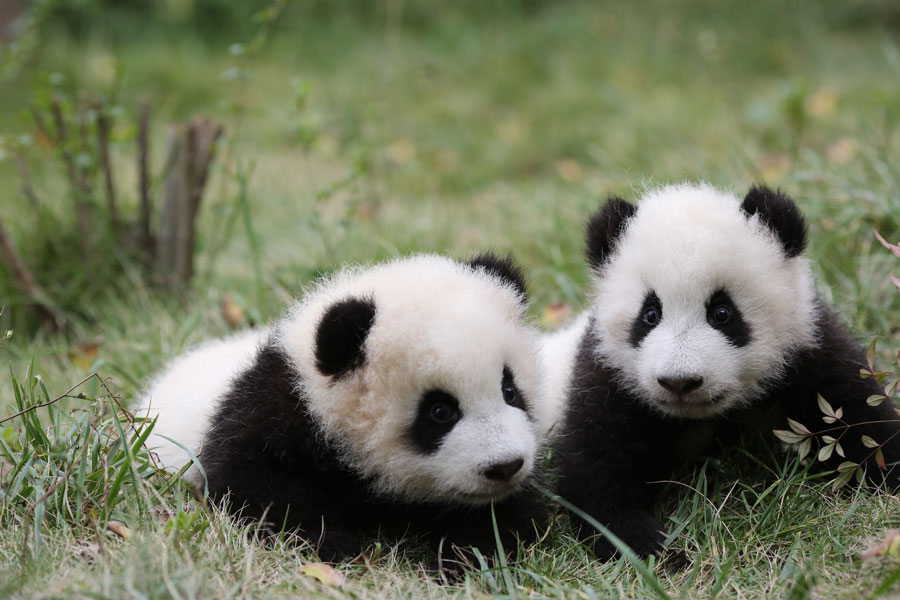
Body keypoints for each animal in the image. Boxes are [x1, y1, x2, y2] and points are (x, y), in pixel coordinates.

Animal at [139, 253, 553, 568]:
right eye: (439, 411)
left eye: (510, 391)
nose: (504, 466)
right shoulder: (274, 411)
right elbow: (252, 485)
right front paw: (329, 543)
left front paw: (469, 554)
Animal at [551, 183, 900, 560]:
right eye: (650, 315)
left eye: (722, 313)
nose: (679, 382)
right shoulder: (608, 375)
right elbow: (594, 462)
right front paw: (640, 539)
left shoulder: (806, 349)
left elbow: (857, 414)